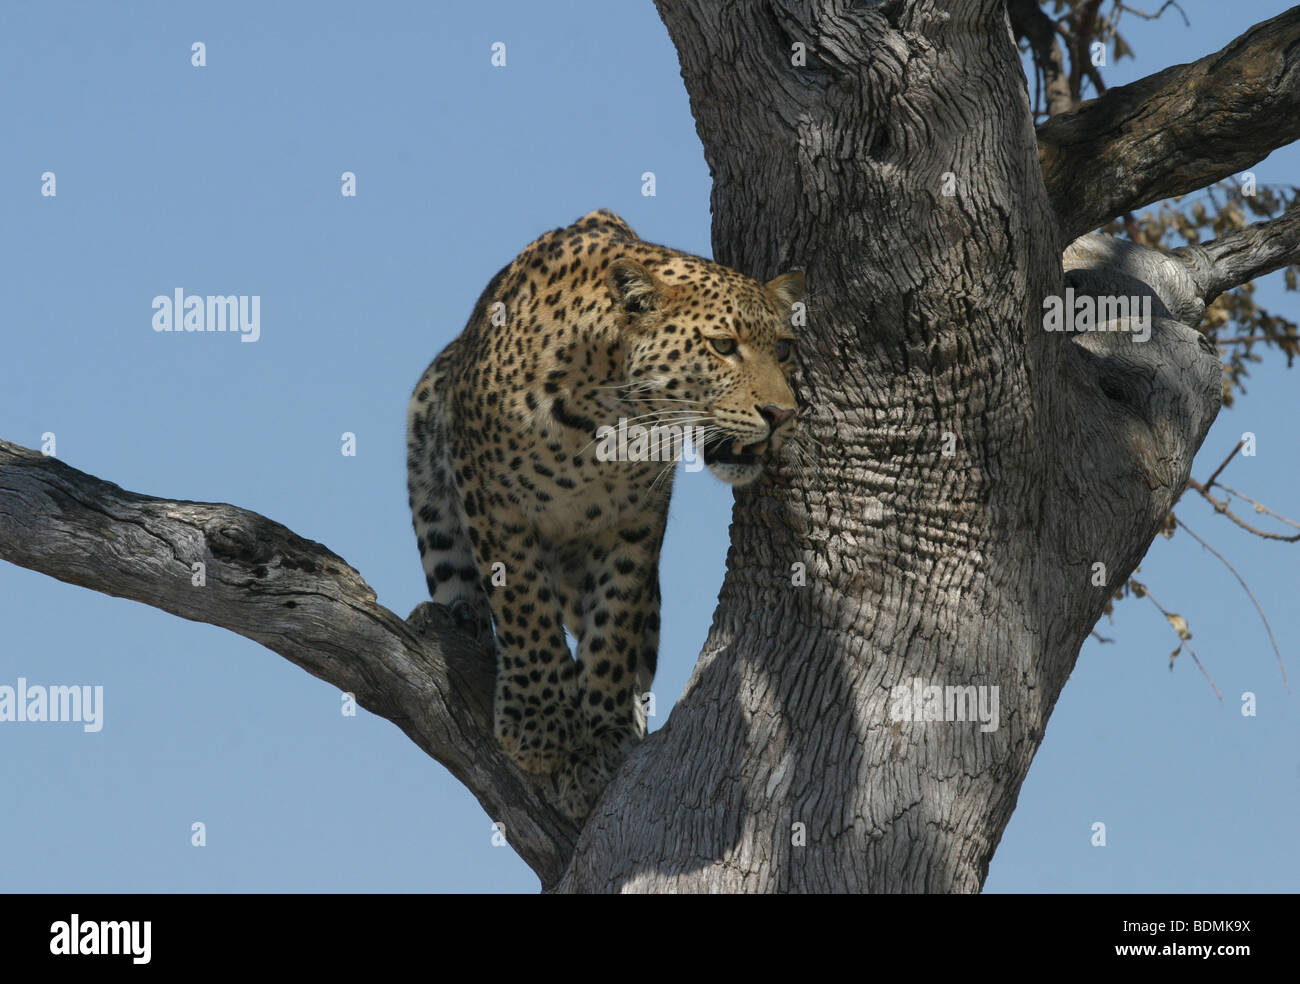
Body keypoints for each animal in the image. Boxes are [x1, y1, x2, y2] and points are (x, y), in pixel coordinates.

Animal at [406, 208, 804, 818]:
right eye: (722, 345)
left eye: (782, 349)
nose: (782, 414)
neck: (608, 420)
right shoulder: (493, 499)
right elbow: (524, 606)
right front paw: (541, 726)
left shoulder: (634, 523)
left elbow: (614, 625)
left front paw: (603, 737)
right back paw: (463, 618)